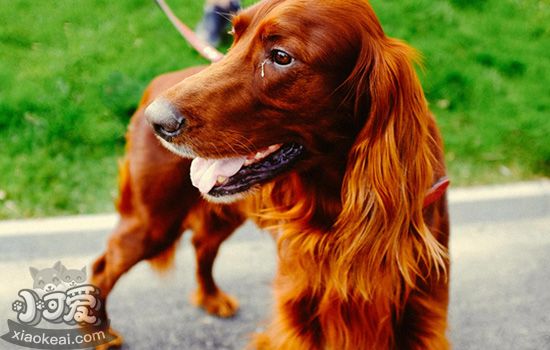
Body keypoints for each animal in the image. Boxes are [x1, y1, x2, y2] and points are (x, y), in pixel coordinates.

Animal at [91, 0, 452, 348]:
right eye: (233, 36)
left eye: (281, 57)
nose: (158, 121)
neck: (336, 207)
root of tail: (154, 86)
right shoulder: (299, 317)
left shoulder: (419, 316)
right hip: (153, 220)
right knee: (103, 266)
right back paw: (100, 333)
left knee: (202, 244)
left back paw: (211, 298)